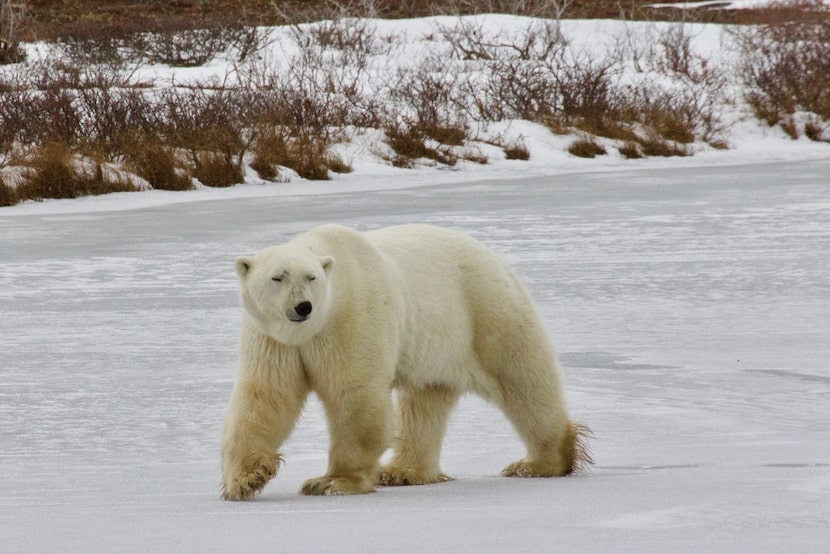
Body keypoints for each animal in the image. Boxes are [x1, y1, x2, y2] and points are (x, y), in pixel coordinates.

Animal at [221, 222, 592, 498]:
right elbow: (266, 397)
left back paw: (537, 463)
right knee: (424, 404)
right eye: (277, 277)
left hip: (486, 311)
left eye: (312, 278)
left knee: (523, 380)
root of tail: (494, 257)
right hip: (438, 346)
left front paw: (332, 481)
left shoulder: (351, 319)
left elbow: (355, 395)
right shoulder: (273, 339)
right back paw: (402, 472)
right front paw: (245, 479)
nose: (303, 307)